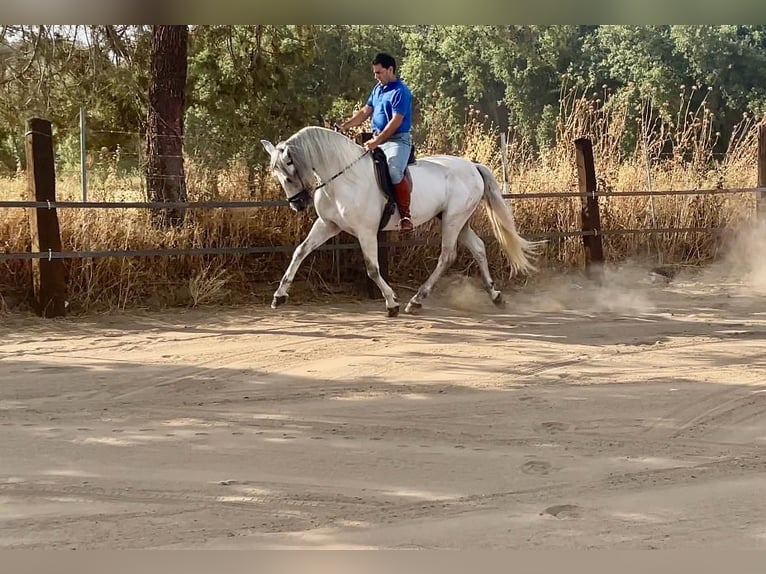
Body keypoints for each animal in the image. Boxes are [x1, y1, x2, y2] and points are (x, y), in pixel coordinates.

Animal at [260, 126, 536, 318]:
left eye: (289, 170)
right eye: (277, 174)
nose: (297, 204)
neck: (343, 178)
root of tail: (472, 166)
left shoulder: (366, 232)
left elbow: (372, 268)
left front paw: (392, 303)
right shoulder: (328, 225)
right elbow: (300, 251)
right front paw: (279, 296)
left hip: (453, 220)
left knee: (447, 255)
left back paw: (417, 300)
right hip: (456, 220)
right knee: (478, 248)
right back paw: (495, 296)